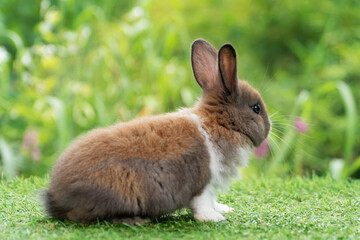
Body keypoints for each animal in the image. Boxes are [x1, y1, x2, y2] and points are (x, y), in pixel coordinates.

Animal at [43, 38, 270, 224]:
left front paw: (224, 209)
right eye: (256, 108)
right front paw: (214, 218)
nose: (269, 128)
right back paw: (136, 220)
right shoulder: (204, 184)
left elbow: (213, 201)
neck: (219, 124)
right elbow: (203, 205)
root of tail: (56, 195)